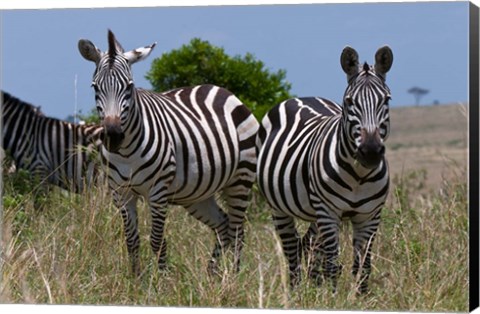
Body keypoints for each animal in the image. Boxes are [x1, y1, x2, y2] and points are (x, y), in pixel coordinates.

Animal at [78, 30, 258, 276]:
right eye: (95, 87)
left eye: (129, 87)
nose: (114, 136)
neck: (126, 153)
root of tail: (221, 90)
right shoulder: (121, 193)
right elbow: (131, 241)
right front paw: (136, 280)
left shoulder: (158, 191)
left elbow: (157, 241)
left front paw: (161, 280)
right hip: (197, 193)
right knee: (224, 225)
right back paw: (212, 275)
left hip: (241, 179)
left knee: (238, 232)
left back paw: (233, 277)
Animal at [256, 45, 392, 294]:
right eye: (350, 101)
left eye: (386, 100)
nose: (370, 151)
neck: (358, 176)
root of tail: (302, 98)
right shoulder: (328, 213)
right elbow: (332, 263)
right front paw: (332, 297)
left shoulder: (370, 216)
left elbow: (363, 267)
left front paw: (360, 297)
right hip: (279, 207)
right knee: (291, 248)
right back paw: (296, 291)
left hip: (314, 213)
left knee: (308, 245)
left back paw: (312, 284)